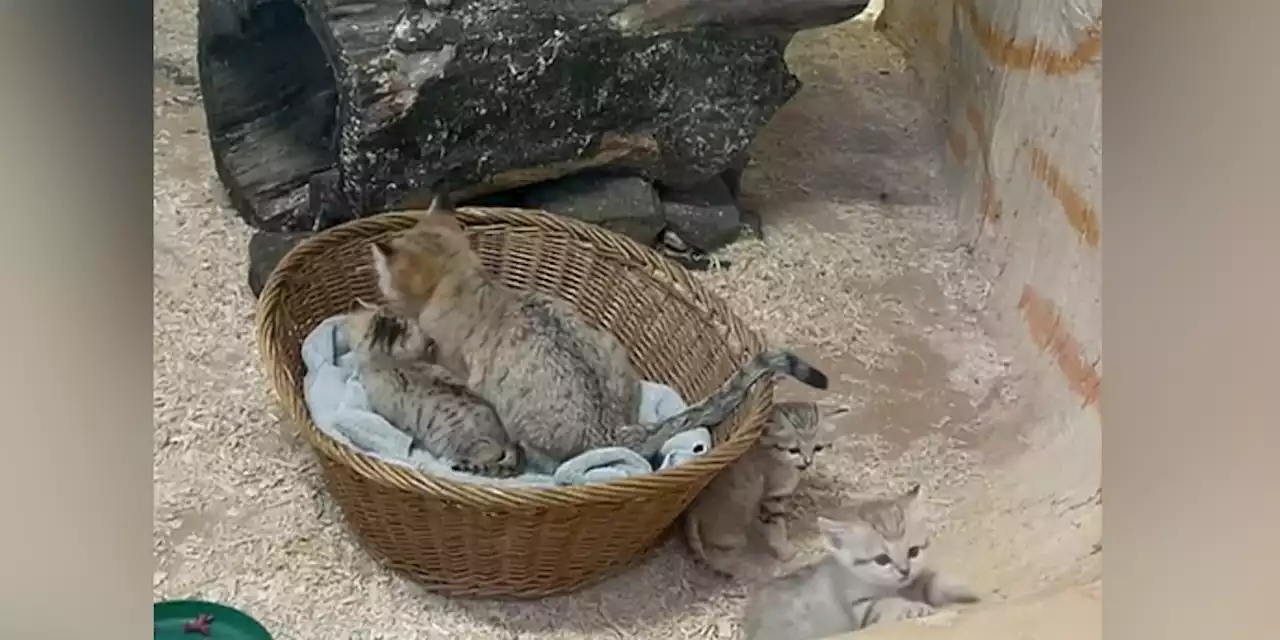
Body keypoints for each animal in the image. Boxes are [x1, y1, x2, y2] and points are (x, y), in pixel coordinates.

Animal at [680, 399, 849, 576]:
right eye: (794, 450)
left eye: (818, 448)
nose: (808, 462)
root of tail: (691, 511)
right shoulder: (771, 498)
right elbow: (777, 527)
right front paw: (785, 552)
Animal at [742, 483, 977, 640]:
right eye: (882, 560)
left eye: (914, 552)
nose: (904, 571)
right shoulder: (860, 607)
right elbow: (887, 604)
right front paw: (913, 608)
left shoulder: (915, 580)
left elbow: (932, 580)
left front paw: (958, 587)